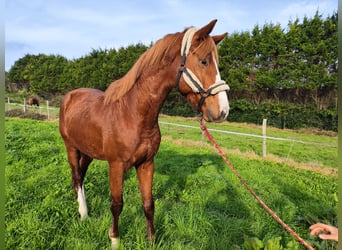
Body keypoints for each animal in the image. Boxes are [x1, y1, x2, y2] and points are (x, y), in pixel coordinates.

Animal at [59, 19, 230, 248]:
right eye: (204, 62)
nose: (223, 111)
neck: (133, 114)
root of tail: (70, 96)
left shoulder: (147, 163)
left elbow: (148, 203)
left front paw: (151, 240)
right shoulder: (116, 166)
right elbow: (116, 204)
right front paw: (115, 240)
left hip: (87, 151)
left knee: (81, 176)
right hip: (71, 147)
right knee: (77, 176)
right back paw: (84, 214)